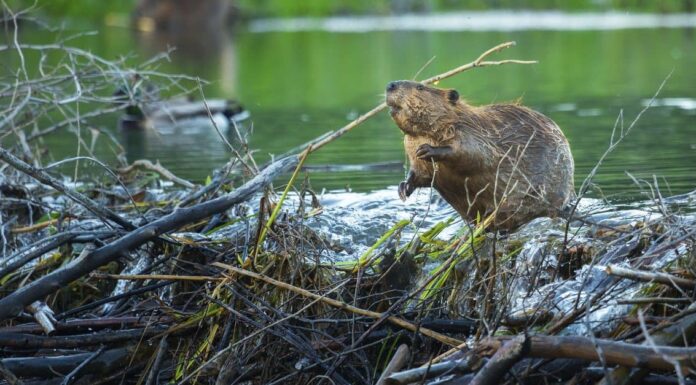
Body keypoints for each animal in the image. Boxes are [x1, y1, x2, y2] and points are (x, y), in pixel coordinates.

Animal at [386, 78, 576, 228]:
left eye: (420, 87)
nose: (390, 85)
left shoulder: (471, 132)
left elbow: (475, 155)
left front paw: (427, 150)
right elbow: (420, 174)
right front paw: (403, 188)